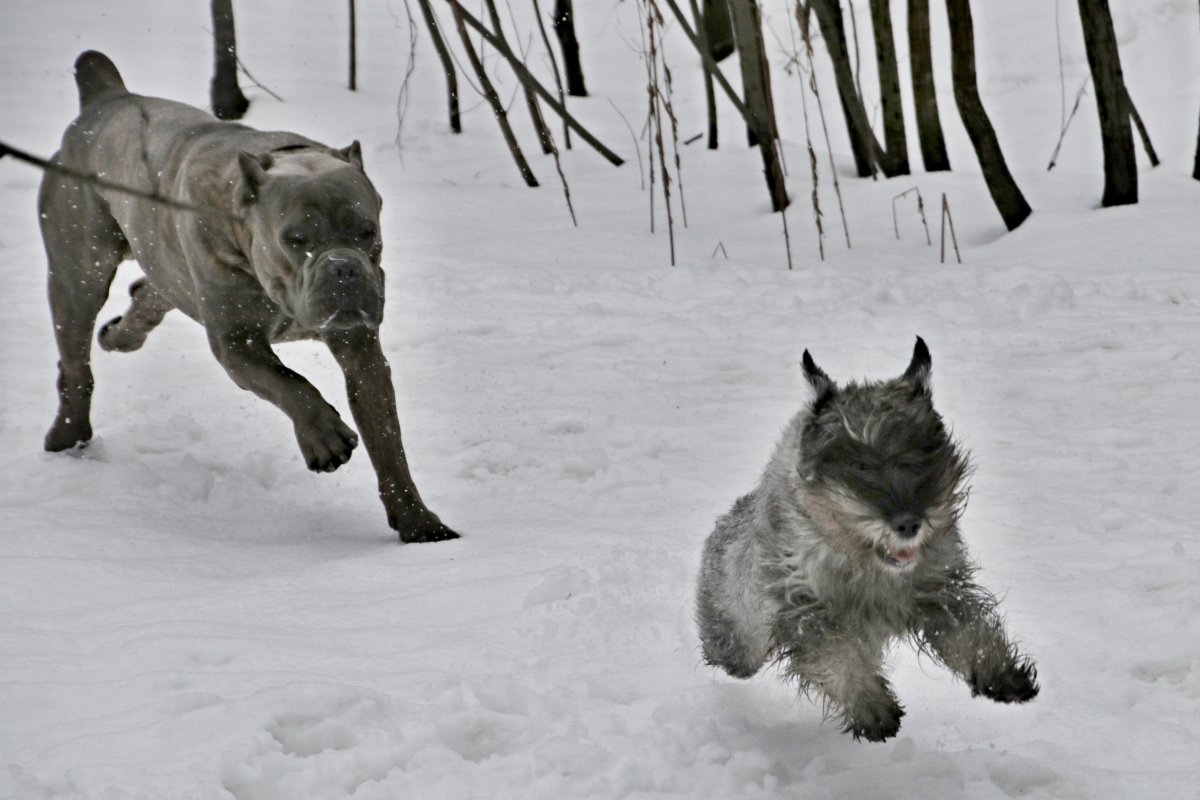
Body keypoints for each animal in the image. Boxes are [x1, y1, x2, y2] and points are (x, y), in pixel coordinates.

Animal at [38, 51, 453, 544]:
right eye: (295, 239)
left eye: (367, 231)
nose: (343, 267)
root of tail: (106, 97)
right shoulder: (236, 341)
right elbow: (288, 383)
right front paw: (325, 438)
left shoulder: (360, 349)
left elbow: (387, 441)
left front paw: (419, 525)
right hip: (78, 273)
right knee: (74, 360)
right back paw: (68, 434)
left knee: (150, 291)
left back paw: (122, 335)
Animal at [700, 335, 1036, 743]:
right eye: (857, 464)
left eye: (923, 452)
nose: (908, 523)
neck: (867, 564)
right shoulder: (805, 612)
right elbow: (837, 657)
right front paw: (871, 708)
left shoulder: (942, 587)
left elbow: (970, 631)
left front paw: (999, 672)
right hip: (739, 634)